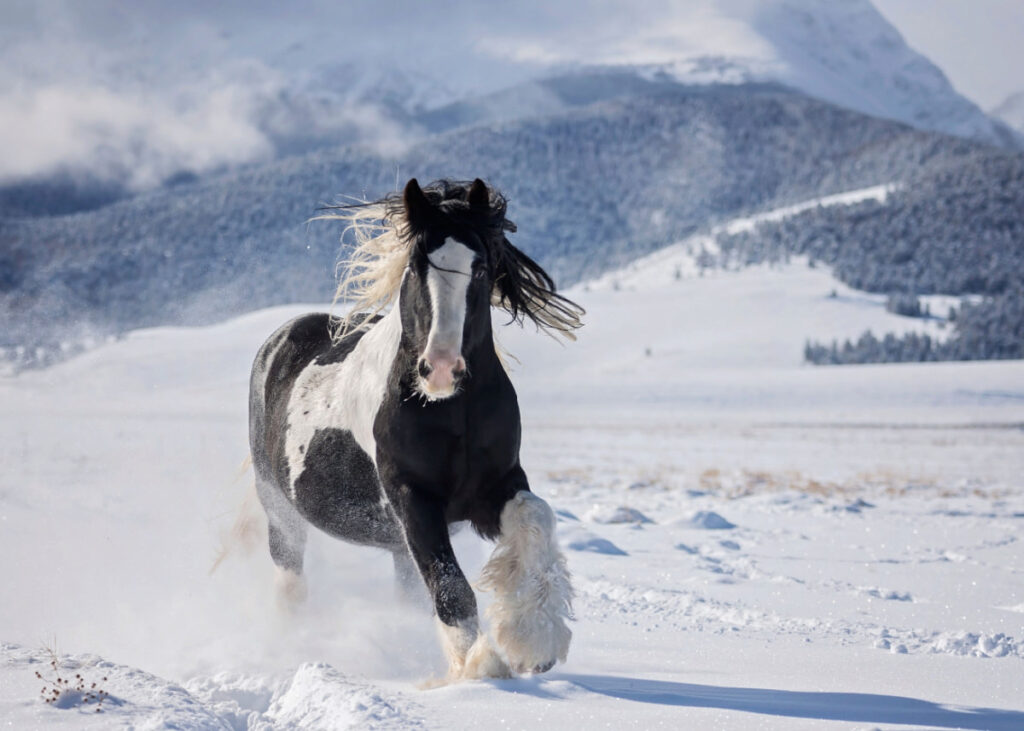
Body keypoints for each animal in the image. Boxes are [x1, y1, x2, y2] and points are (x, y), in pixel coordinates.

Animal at [246, 176, 585, 675]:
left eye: (480, 268)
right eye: (415, 266)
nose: (440, 369)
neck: (453, 414)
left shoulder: (498, 485)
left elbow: (535, 516)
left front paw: (534, 641)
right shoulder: (413, 498)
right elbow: (451, 587)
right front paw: (479, 669)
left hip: (393, 545)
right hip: (280, 509)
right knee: (290, 577)